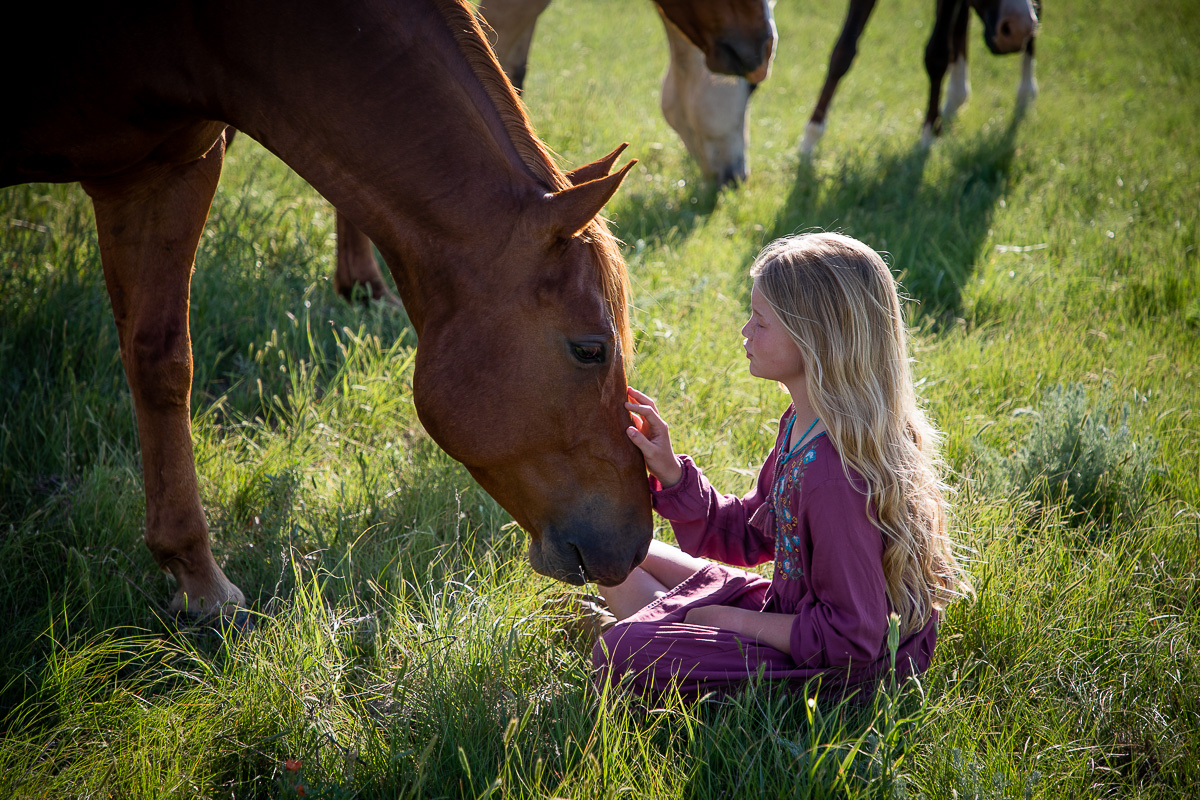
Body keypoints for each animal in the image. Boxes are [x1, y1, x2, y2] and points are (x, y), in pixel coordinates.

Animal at [2, 0, 657, 618]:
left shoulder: (160, 170)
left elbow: (160, 363)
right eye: (591, 349)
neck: (206, 28)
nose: (636, 543)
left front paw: (195, 578)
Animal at [796, 0, 1041, 154]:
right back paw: (954, 101)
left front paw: (928, 138)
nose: (1012, 29)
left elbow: (937, 55)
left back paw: (1025, 93)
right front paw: (809, 141)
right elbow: (843, 52)